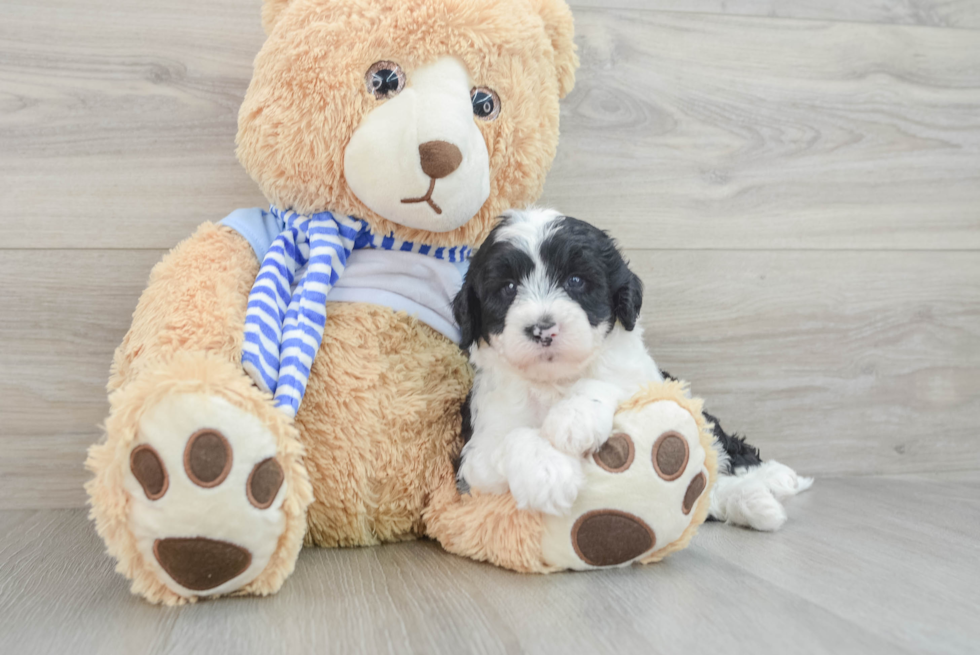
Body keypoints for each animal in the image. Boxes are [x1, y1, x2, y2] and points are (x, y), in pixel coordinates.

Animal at [454, 210, 812, 532]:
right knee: (705, 494)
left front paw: (573, 419)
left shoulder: (645, 381)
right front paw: (548, 474)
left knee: (725, 450)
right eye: (508, 287)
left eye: (575, 281)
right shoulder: (476, 455)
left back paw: (775, 480)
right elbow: (511, 437)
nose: (543, 330)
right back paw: (754, 502)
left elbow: (606, 383)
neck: (554, 382)